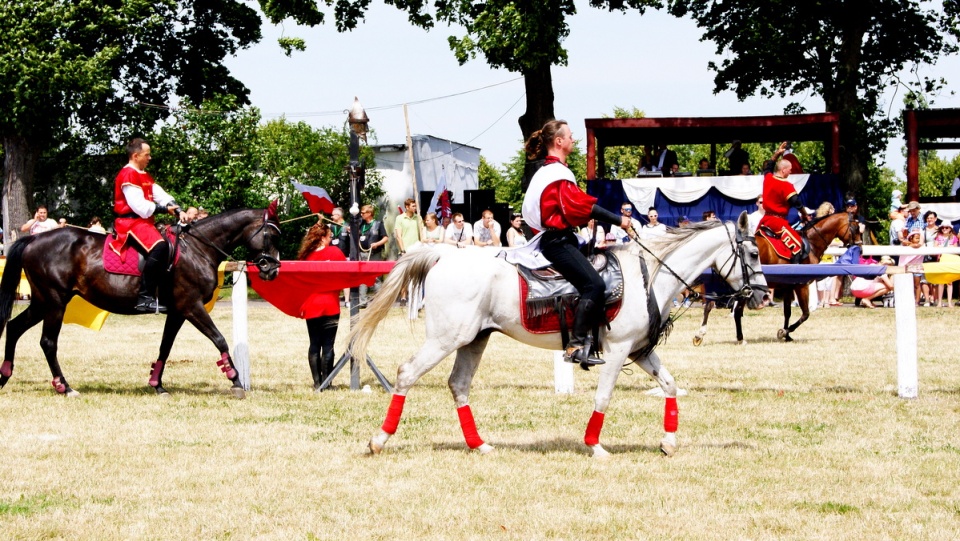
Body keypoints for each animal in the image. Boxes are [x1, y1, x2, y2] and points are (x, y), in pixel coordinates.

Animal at [0, 207, 282, 396]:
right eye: (270, 235)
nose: (272, 269)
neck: (197, 249)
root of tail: (34, 239)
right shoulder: (191, 306)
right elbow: (219, 338)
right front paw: (235, 380)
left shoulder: (178, 311)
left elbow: (165, 347)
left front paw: (157, 384)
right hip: (55, 302)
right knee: (48, 342)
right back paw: (65, 387)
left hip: (42, 302)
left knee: (13, 328)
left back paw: (4, 376)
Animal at [348, 211, 768, 456]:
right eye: (752, 254)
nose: (763, 296)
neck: (648, 275)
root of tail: (444, 254)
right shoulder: (617, 352)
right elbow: (603, 396)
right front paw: (594, 445)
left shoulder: (640, 352)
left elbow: (670, 385)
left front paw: (668, 441)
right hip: (445, 339)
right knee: (406, 373)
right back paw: (379, 440)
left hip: (473, 339)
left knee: (459, 385)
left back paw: (480, 445)